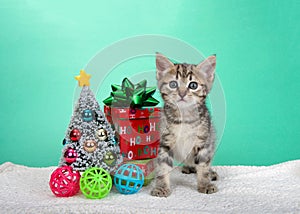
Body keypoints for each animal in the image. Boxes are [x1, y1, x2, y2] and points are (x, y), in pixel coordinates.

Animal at [150, 52, 218, 196]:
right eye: (173, 84)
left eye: (193, 85)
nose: (182, 93)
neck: (184, 118)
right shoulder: (165, 142)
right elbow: (163, 166)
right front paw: (161, 187)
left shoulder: (203, 141)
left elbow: (203, 165)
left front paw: (205, 184)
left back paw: (211, 173)